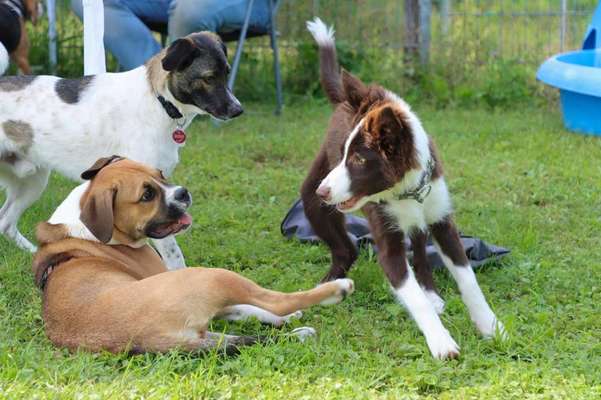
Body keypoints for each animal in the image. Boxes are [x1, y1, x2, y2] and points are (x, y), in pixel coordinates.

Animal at [32, 156, 354, 354]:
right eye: (147, 195)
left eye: (160, 175)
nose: (183, 192)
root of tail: (141, 337)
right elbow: (253, 305)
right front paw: (283, 316)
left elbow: (244, 309)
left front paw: (280, 320)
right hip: (212, 276)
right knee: (276, 299)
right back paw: (335, 290)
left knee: (246, 337)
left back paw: (298, 333)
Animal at [302, 18, 504, 360]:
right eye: (342, 154)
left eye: (358, 159)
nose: (323, 192)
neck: (407, 189)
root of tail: (346, 97)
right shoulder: (388, 240)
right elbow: (414, 297)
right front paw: (441, 342)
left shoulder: (441, 219)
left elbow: (468, 279)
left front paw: (490, 325)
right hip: (313, 203)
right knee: (345, 248)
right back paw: (330, 282)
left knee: (420, 248)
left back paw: (431, 289)